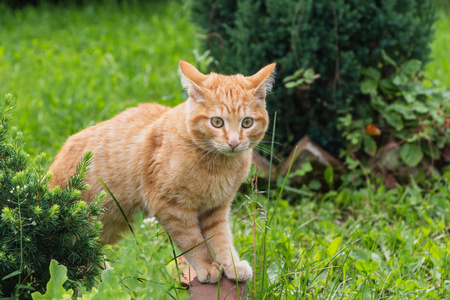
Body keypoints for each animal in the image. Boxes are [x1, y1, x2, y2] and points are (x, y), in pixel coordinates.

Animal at [48, 61, 274, 284]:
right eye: (217, 122)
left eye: (247, 122)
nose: (234, 142)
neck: (219, 165)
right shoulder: (172, 208)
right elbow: (194, 243)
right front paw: (207, 266)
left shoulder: (216, 208)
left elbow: (221, 239)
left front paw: (232, 265)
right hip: (81, 230)